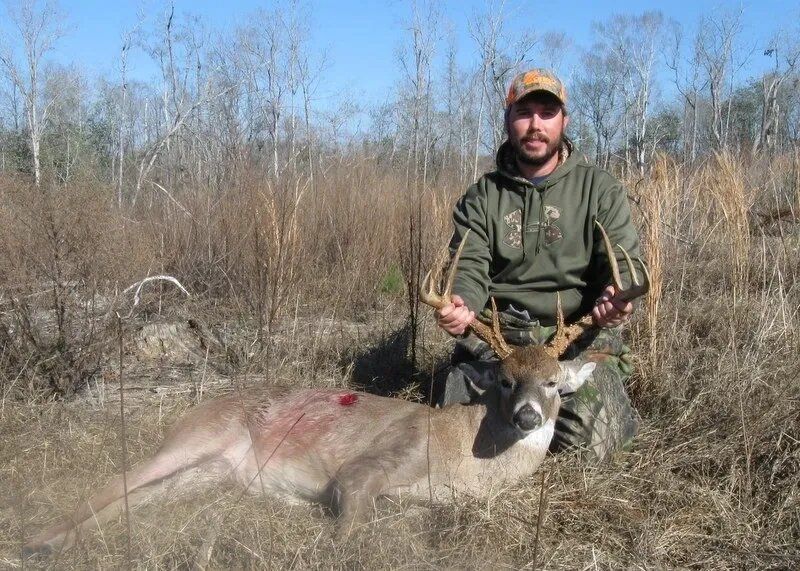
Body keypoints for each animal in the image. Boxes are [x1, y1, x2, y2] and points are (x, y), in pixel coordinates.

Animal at [23, 221, 648, 557]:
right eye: (505, 379)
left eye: (553, 382)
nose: (526, 417)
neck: (465, 461)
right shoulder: (367, 468)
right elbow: (350, 534)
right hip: (195, 435)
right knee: (112, 483)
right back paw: (38, 541)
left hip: (209, 472)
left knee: (138, 497)